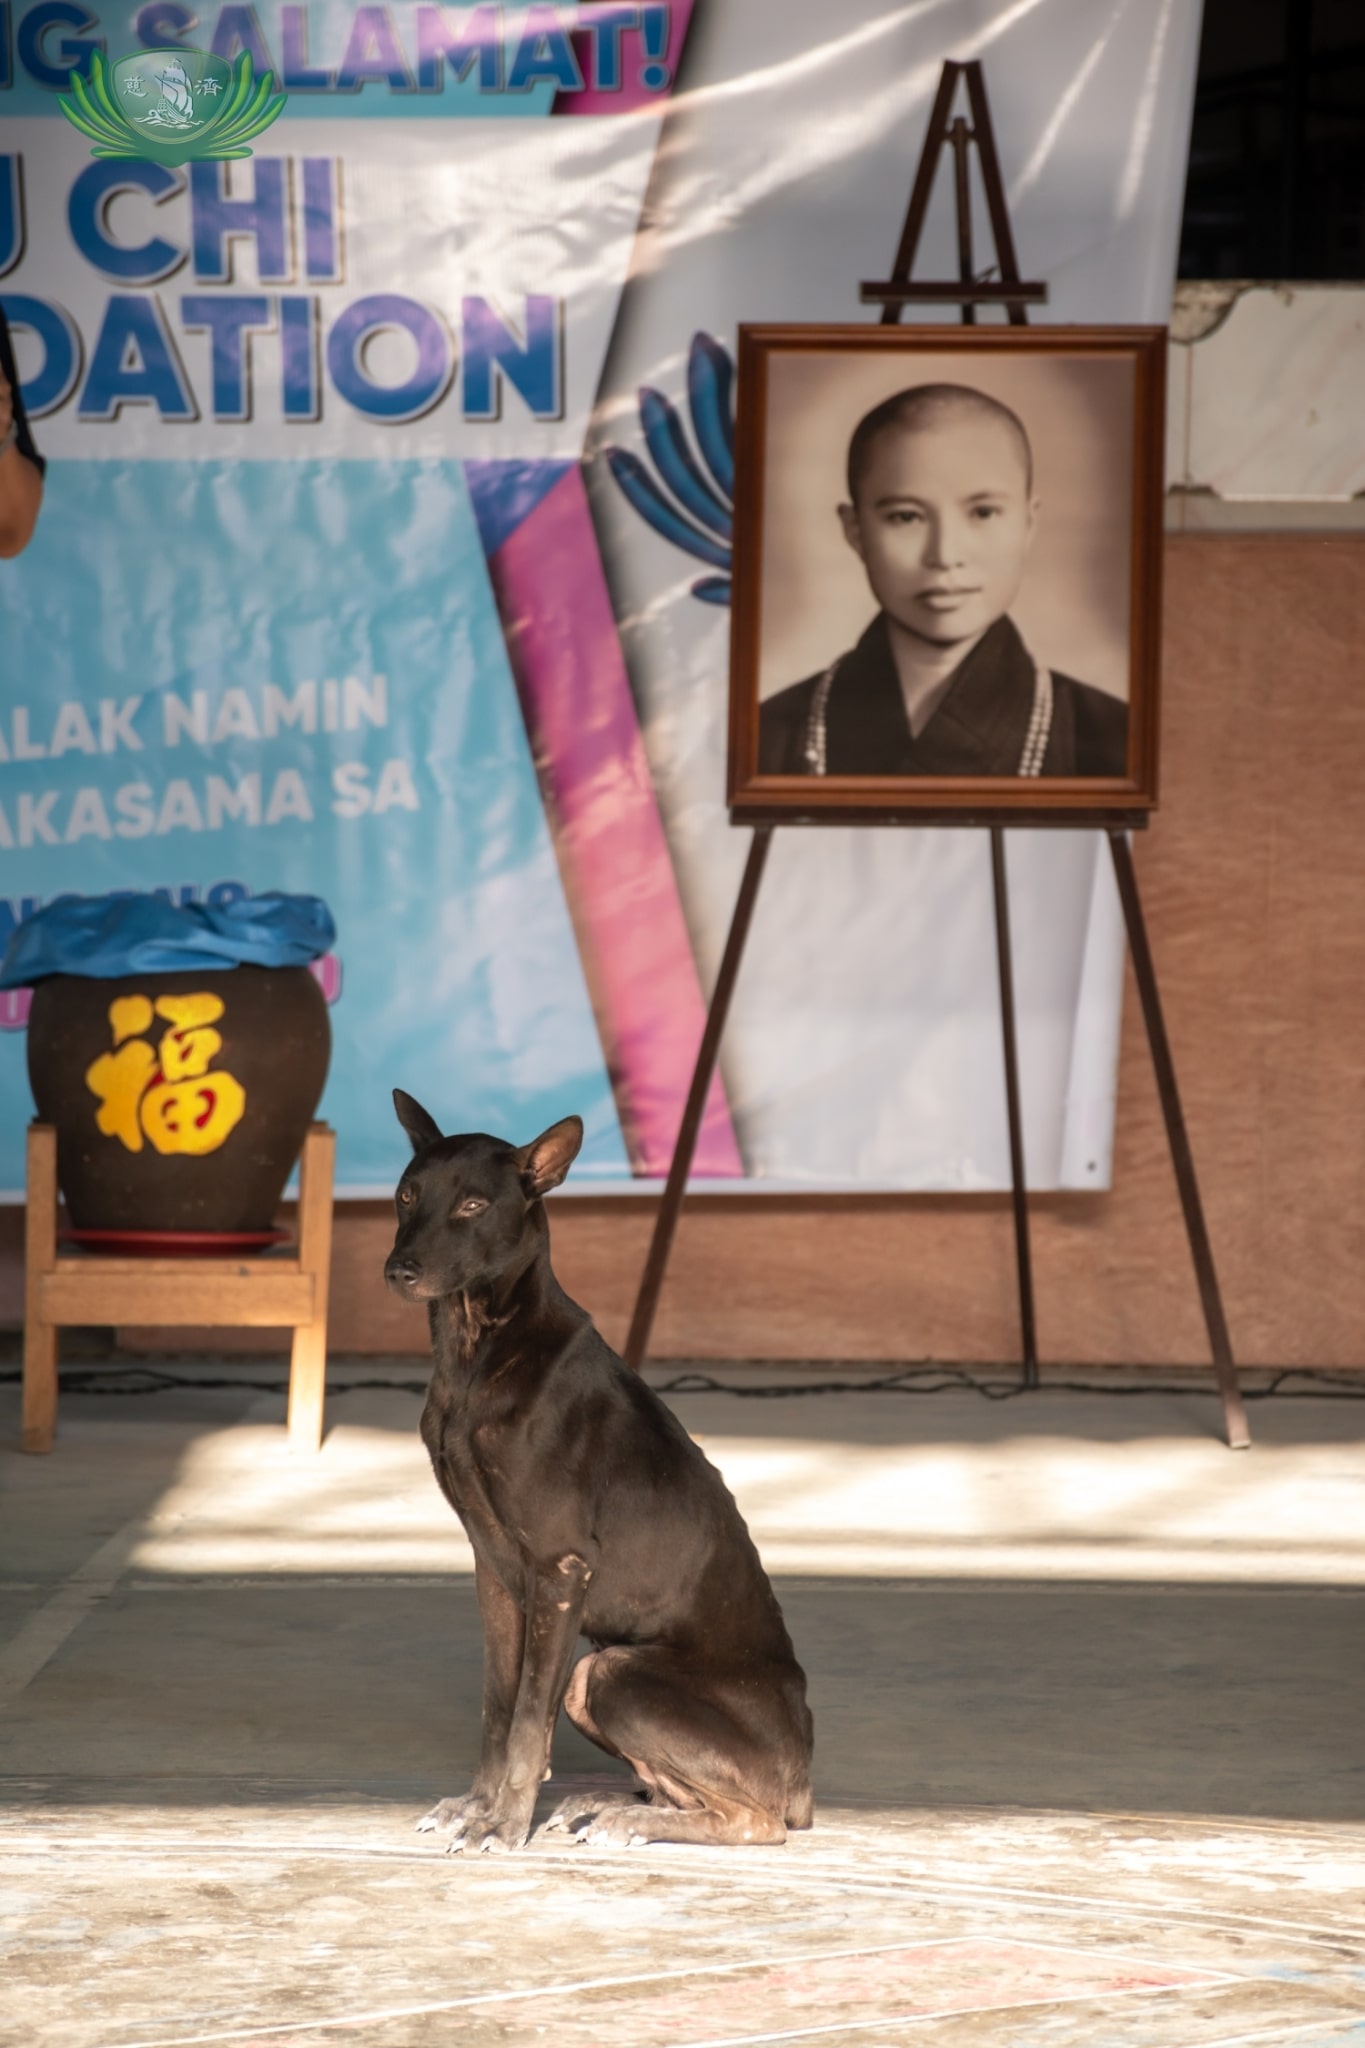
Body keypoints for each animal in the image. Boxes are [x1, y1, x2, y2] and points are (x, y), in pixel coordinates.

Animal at [382, 1097, 810, 1851]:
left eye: (471, 1204)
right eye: (408, 1195)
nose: (399, 1269)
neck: (478, 1350)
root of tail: (805, 1778)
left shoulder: (559, 1571)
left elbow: (528, 1724)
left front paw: (505, 1824)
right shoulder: (496, 1573)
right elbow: (498, 1709)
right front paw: (477, 1805)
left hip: (606, 1669)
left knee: (754, 1821)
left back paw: (631, 1815)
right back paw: (611, 1808)